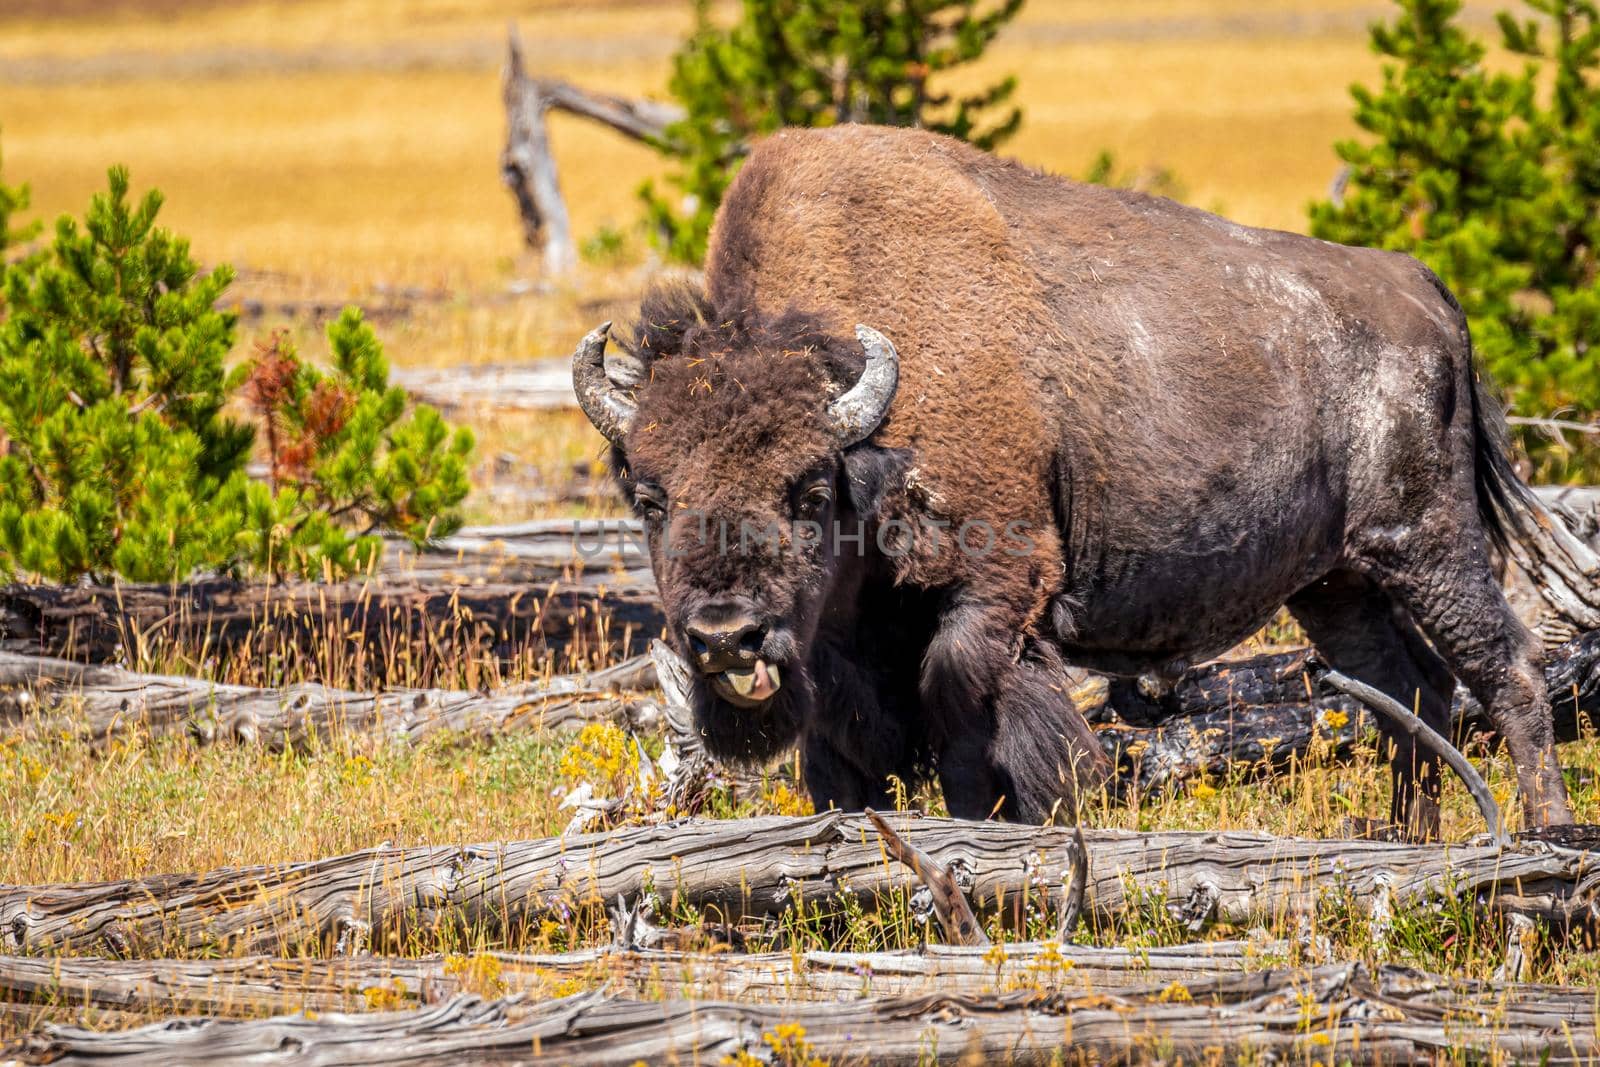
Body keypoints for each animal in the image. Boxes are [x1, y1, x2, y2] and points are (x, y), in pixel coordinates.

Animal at [576, 125, 1600, 838]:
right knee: (1408, 691)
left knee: (1506, 667)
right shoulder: (839, 649)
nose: (725, 636)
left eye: (808, 491)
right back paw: (1403, 839)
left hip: (1427, 541)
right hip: (1336, 580)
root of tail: (1423, 285)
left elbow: (970, 713)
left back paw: (1543, 835)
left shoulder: (1001, 586)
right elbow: (848, 751)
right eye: (651, 497)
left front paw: (1026, 815)